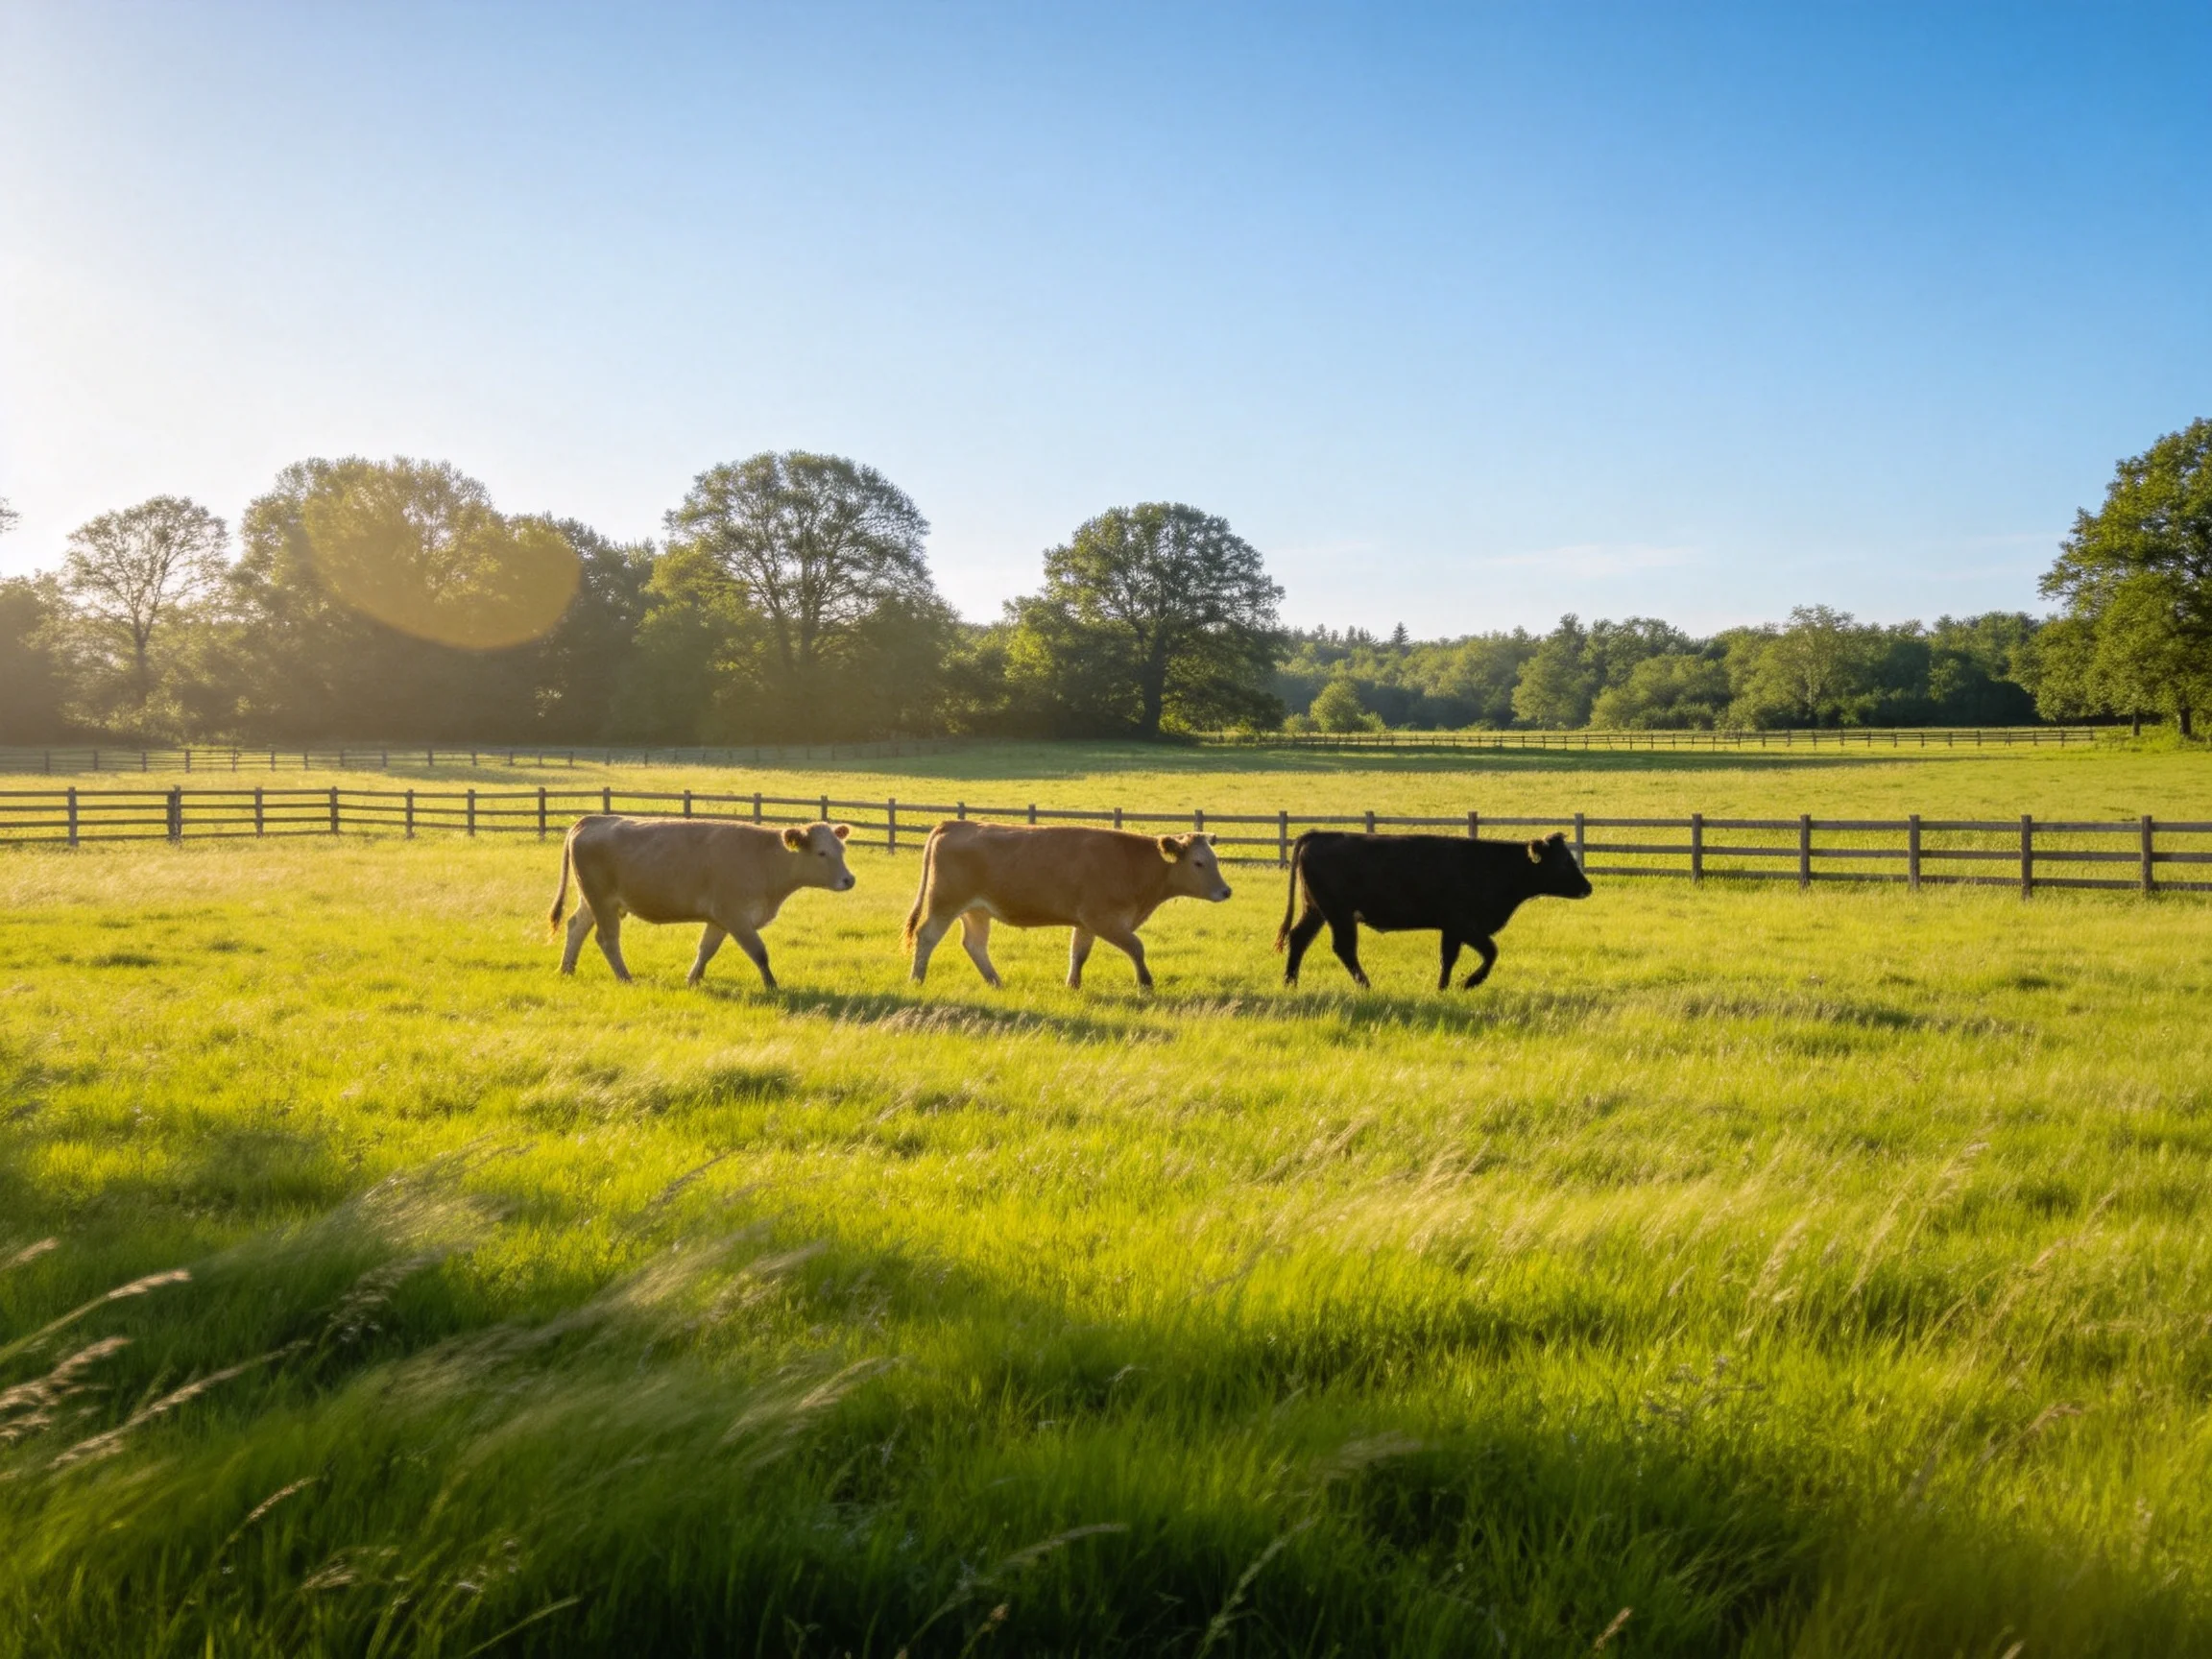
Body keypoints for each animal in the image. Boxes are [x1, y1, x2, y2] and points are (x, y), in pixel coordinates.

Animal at [548, 814, 856, 989]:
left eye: (841, 849)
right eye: (822, 853)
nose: (849, 880)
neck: (765, 857)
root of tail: (591, 820)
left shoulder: (720, 920)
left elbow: (706, 950)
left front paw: (693, 979)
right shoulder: (735, 917)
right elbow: (759, 953)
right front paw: (772, 986)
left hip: (592, 900)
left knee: (576, 927)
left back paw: (567, 969)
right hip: (601, 900)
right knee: (607, 938)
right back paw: (625, 978)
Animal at [902, 821, 1233, 989]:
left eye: (1215, 859)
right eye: (1199, 862)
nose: (1225, 891)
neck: (1133, 864)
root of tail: (956, 824)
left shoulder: (1086, 923)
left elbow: (1079, 954)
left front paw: (1073, 985)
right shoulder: (1103, 920)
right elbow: (1137, 947)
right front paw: (1145, 983)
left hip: (976, 910)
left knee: (975, 944)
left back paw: (996, 982)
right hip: (946, 902)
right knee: (927, 936)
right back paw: (917, 979)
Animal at [1276, 829, 1592, 990]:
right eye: (1564, 862)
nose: (1587, 887)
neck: (1492, 865)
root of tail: (1321, 834)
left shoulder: (1451, 929)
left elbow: (1448, 958)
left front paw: (1443, 988)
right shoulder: (1464, 924)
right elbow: (1491, 951)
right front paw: (1470, 982)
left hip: (1316, 909)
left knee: (1299, 939)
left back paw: (1291, 983)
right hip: (1338, 913)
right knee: (1343, 948)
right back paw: (1366, 985)